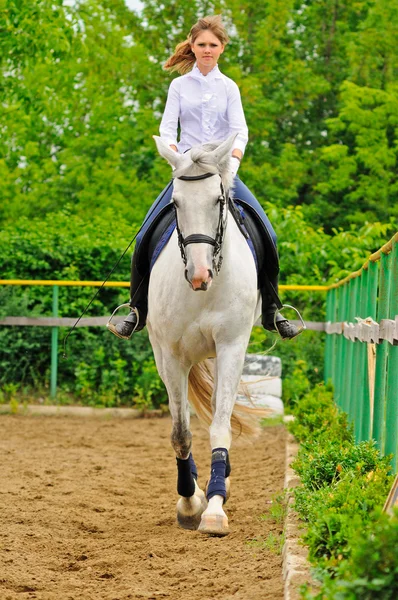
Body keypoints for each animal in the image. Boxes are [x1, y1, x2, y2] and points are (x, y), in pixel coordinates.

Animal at [148, 135, 262, 536]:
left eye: (218, 200)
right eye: (176, 203)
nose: (199, 276)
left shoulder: (231, 347)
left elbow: (220, 425)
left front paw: (214, 508)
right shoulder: (171, 355)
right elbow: (181, 433)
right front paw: (189, 501)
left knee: (217, 411)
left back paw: (219, 482)